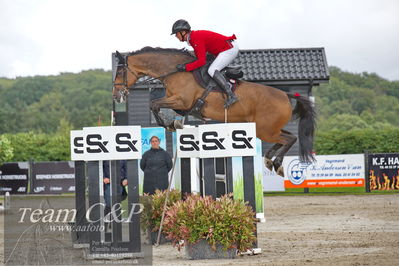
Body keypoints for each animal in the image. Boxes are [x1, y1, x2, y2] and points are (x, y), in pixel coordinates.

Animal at [111, 47, 316, 177]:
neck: (175, 72)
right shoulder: (181, 103)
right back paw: (268, 160)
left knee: (289, 138)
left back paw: (277, 164)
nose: (116, 96)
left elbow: (154, 103)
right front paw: (174, 122)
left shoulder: (182, 99)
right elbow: (161, 106)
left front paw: (168, 124)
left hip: (266, 130)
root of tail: (285, 94)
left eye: (120, 73)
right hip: (266, 128)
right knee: (287, 137)